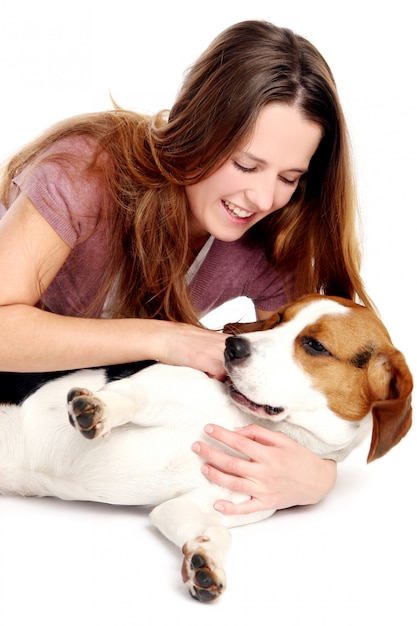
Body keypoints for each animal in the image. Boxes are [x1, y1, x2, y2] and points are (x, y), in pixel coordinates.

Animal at [0, 294, 410, 604]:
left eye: (315, 345)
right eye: (278, 319)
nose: (233, 345)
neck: (242, 420)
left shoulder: (196, 505)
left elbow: (214, 532)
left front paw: (205, 563)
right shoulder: (155, 387)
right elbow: (127, 396)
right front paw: (98, 409)